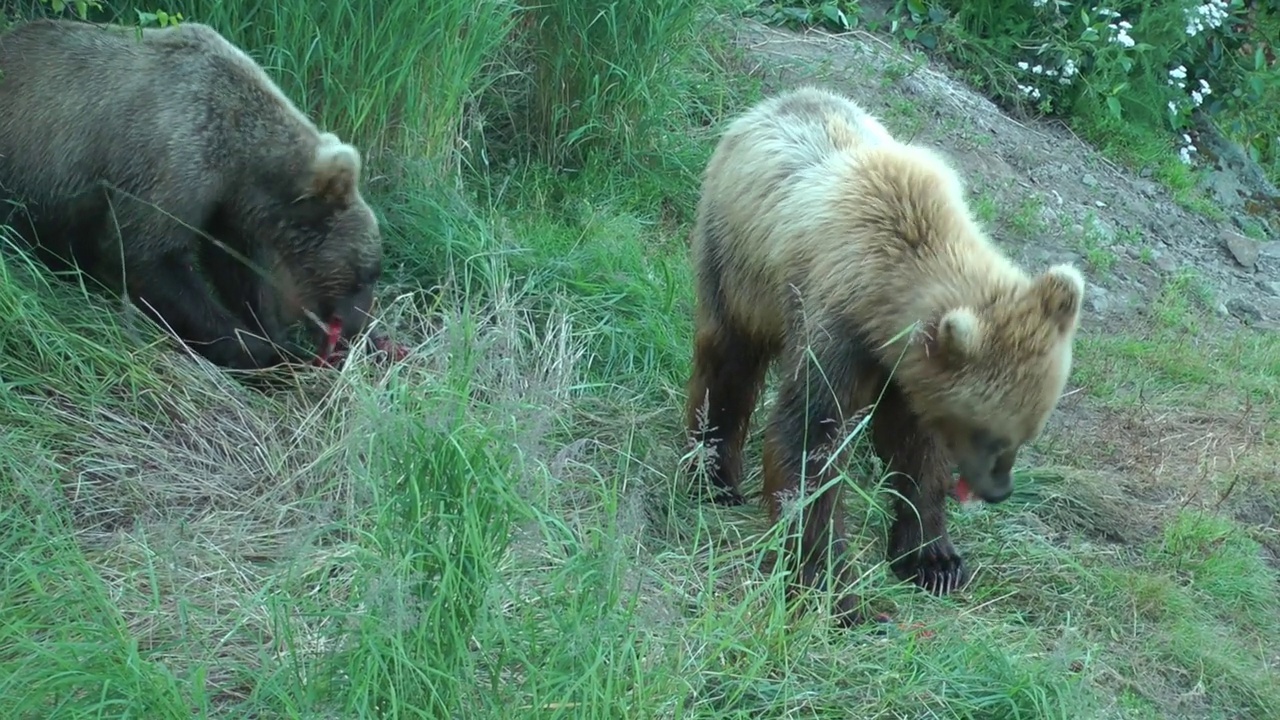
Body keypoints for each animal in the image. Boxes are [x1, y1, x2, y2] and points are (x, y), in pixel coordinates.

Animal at [0, 19, 386, 366]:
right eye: (364, 275)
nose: (358, 329)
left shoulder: (228, 204)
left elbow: (240, 269)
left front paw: (272, 333)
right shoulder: (173, 158)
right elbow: (148, 255)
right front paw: (265, 352)